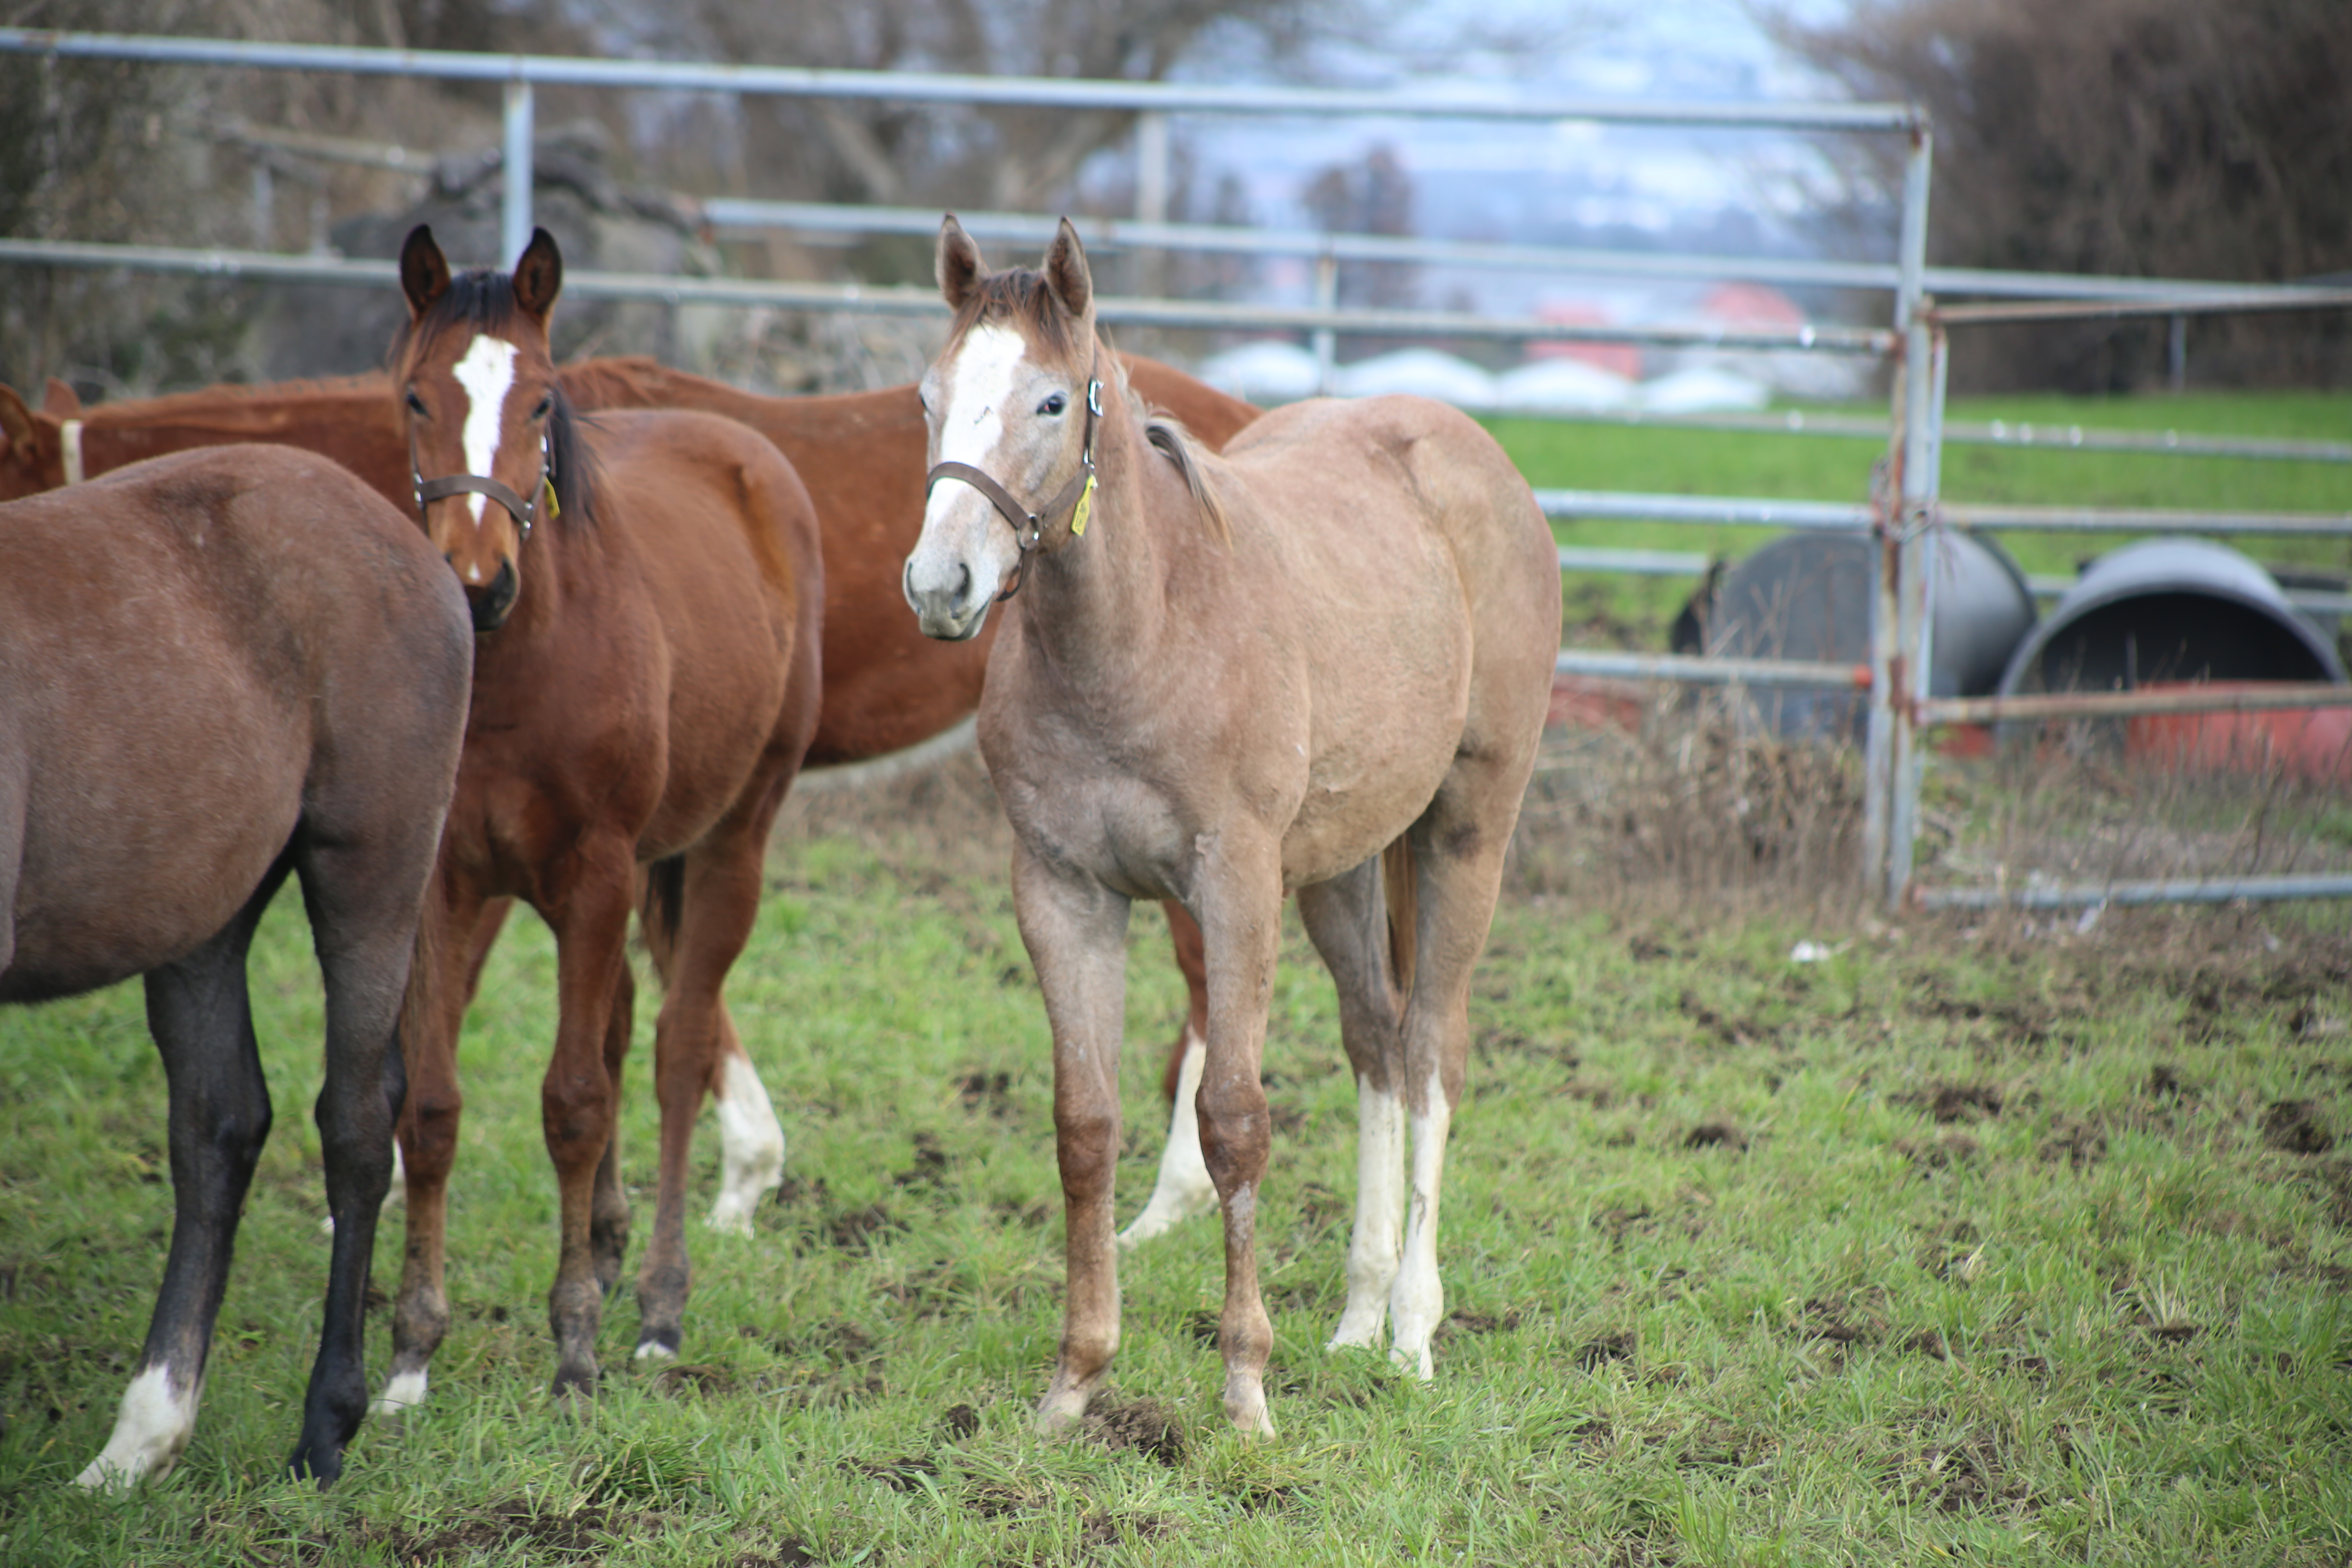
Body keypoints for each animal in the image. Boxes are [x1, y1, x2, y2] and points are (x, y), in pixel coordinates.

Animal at [0, 442, 472, 1486]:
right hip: (200, 912)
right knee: (218, 1126)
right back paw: (141, 1438)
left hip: (368, 877)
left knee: (354, 1123)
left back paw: (326, 1426)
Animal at [381, 227, 823, 1420]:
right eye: (415, 397)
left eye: (540, 401)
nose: (476, 584)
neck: (515, 673)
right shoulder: (446, 882)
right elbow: (431, 1105)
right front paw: (410, 1353)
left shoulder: (595, 873)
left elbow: (574, 1102)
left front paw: (574, 1344)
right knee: (629, 1018)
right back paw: (616, 1243)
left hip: (729, 842)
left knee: (675, 1048)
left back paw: (660, 1302)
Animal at [898, 217, 1561, 1439]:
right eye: (930, 396)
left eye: (1051, 402)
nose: (940, 583)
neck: (1145, 632)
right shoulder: (1060, 891)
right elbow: (1085, 1127)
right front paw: (1075, 1382)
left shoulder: (1236, 888)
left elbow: (1233, 1121)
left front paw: (1246, 1390)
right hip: (1343, 870)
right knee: (1376, 1043)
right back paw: (1353, 1320)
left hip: (1466, 833)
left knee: (1432, 1051)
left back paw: (1410, 1331)